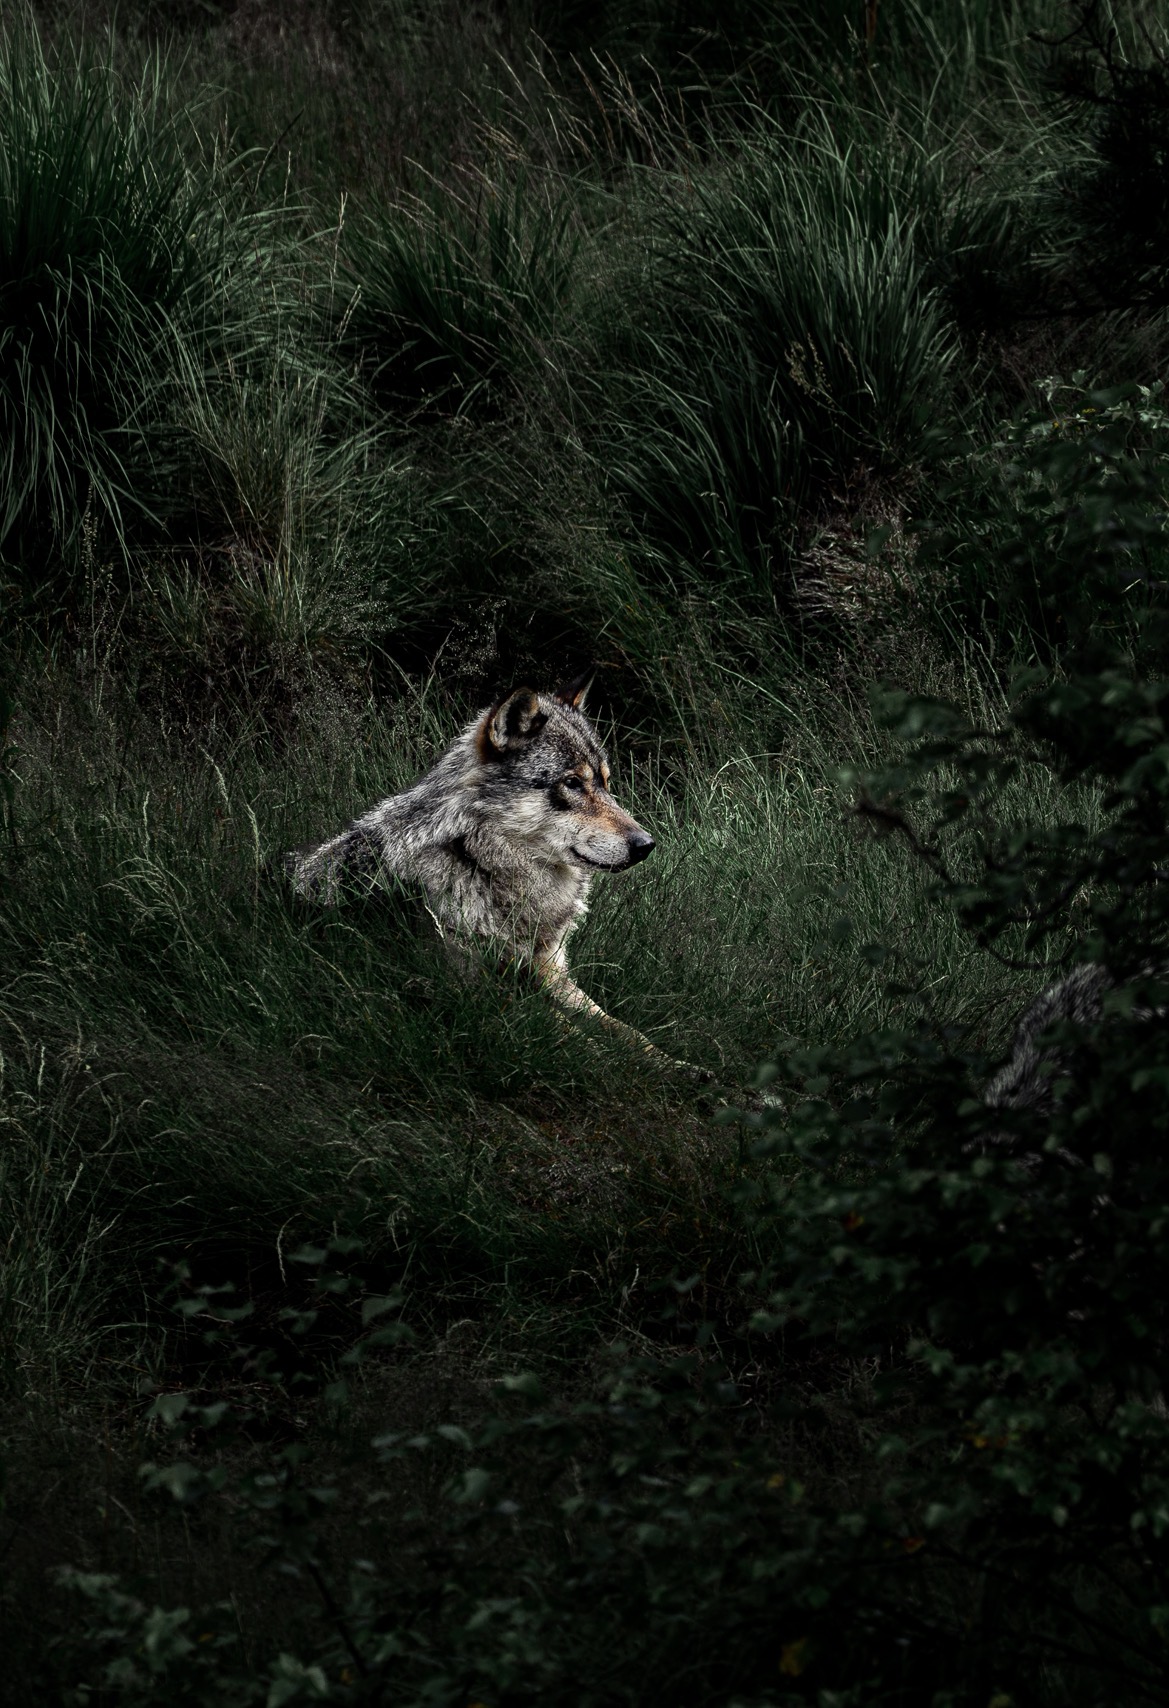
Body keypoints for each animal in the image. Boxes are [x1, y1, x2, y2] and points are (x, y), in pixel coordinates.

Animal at [286, 675, 676, 1060]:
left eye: (605, 783)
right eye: (573, 783)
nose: (646, 844)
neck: (478, 865)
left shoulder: (553, 975)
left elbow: (626, 1031)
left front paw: (673, 1062)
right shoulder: (481, 994)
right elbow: (581, 1041)